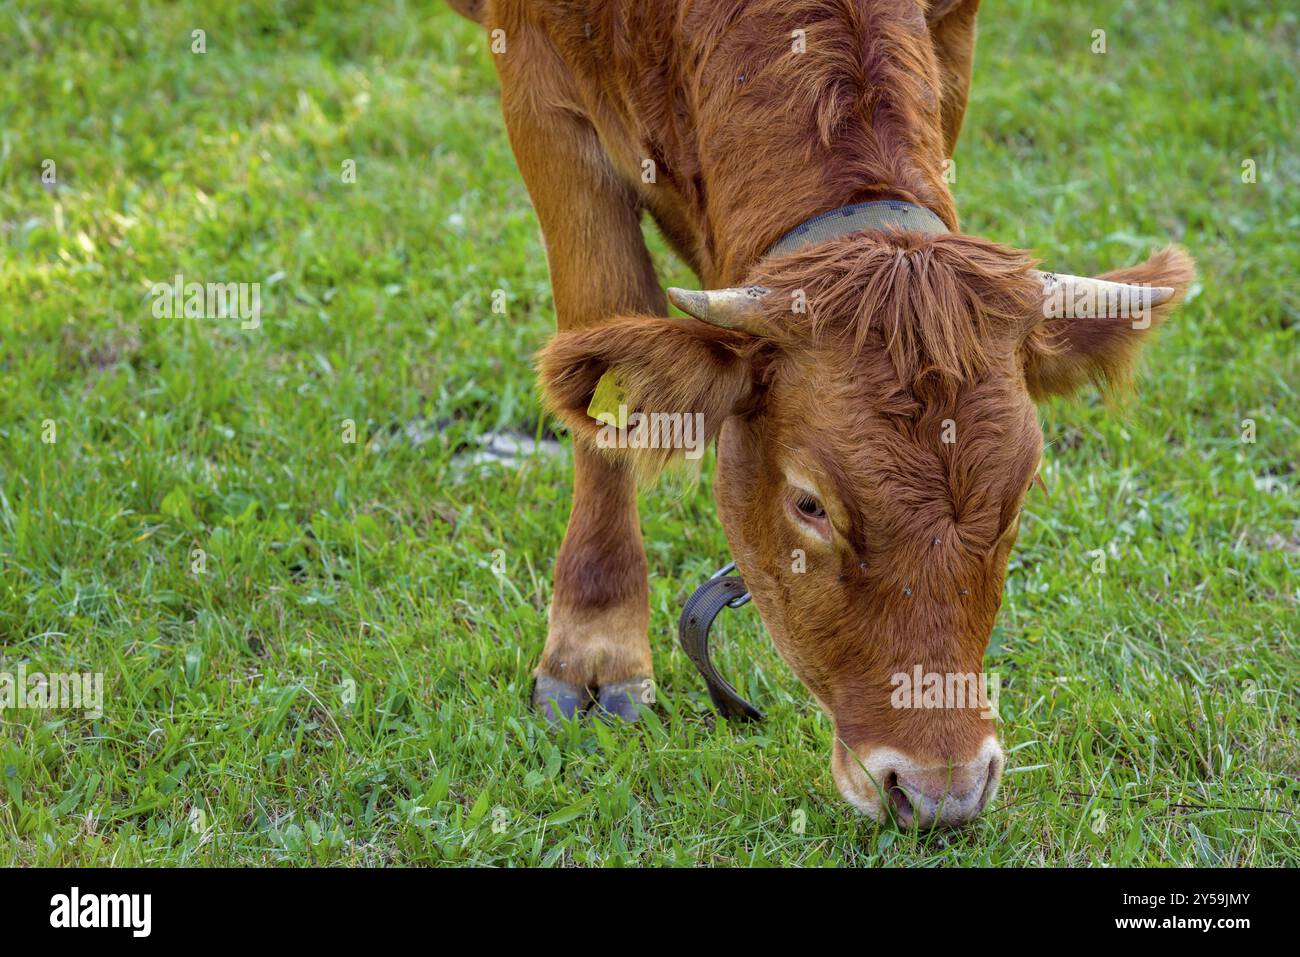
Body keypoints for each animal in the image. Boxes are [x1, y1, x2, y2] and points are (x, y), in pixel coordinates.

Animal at [452, 0, 1190, 821]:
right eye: (809, 504)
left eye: (1021, 495)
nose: (941, 791)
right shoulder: (541, 84)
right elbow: (603, 333)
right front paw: (593, 646)